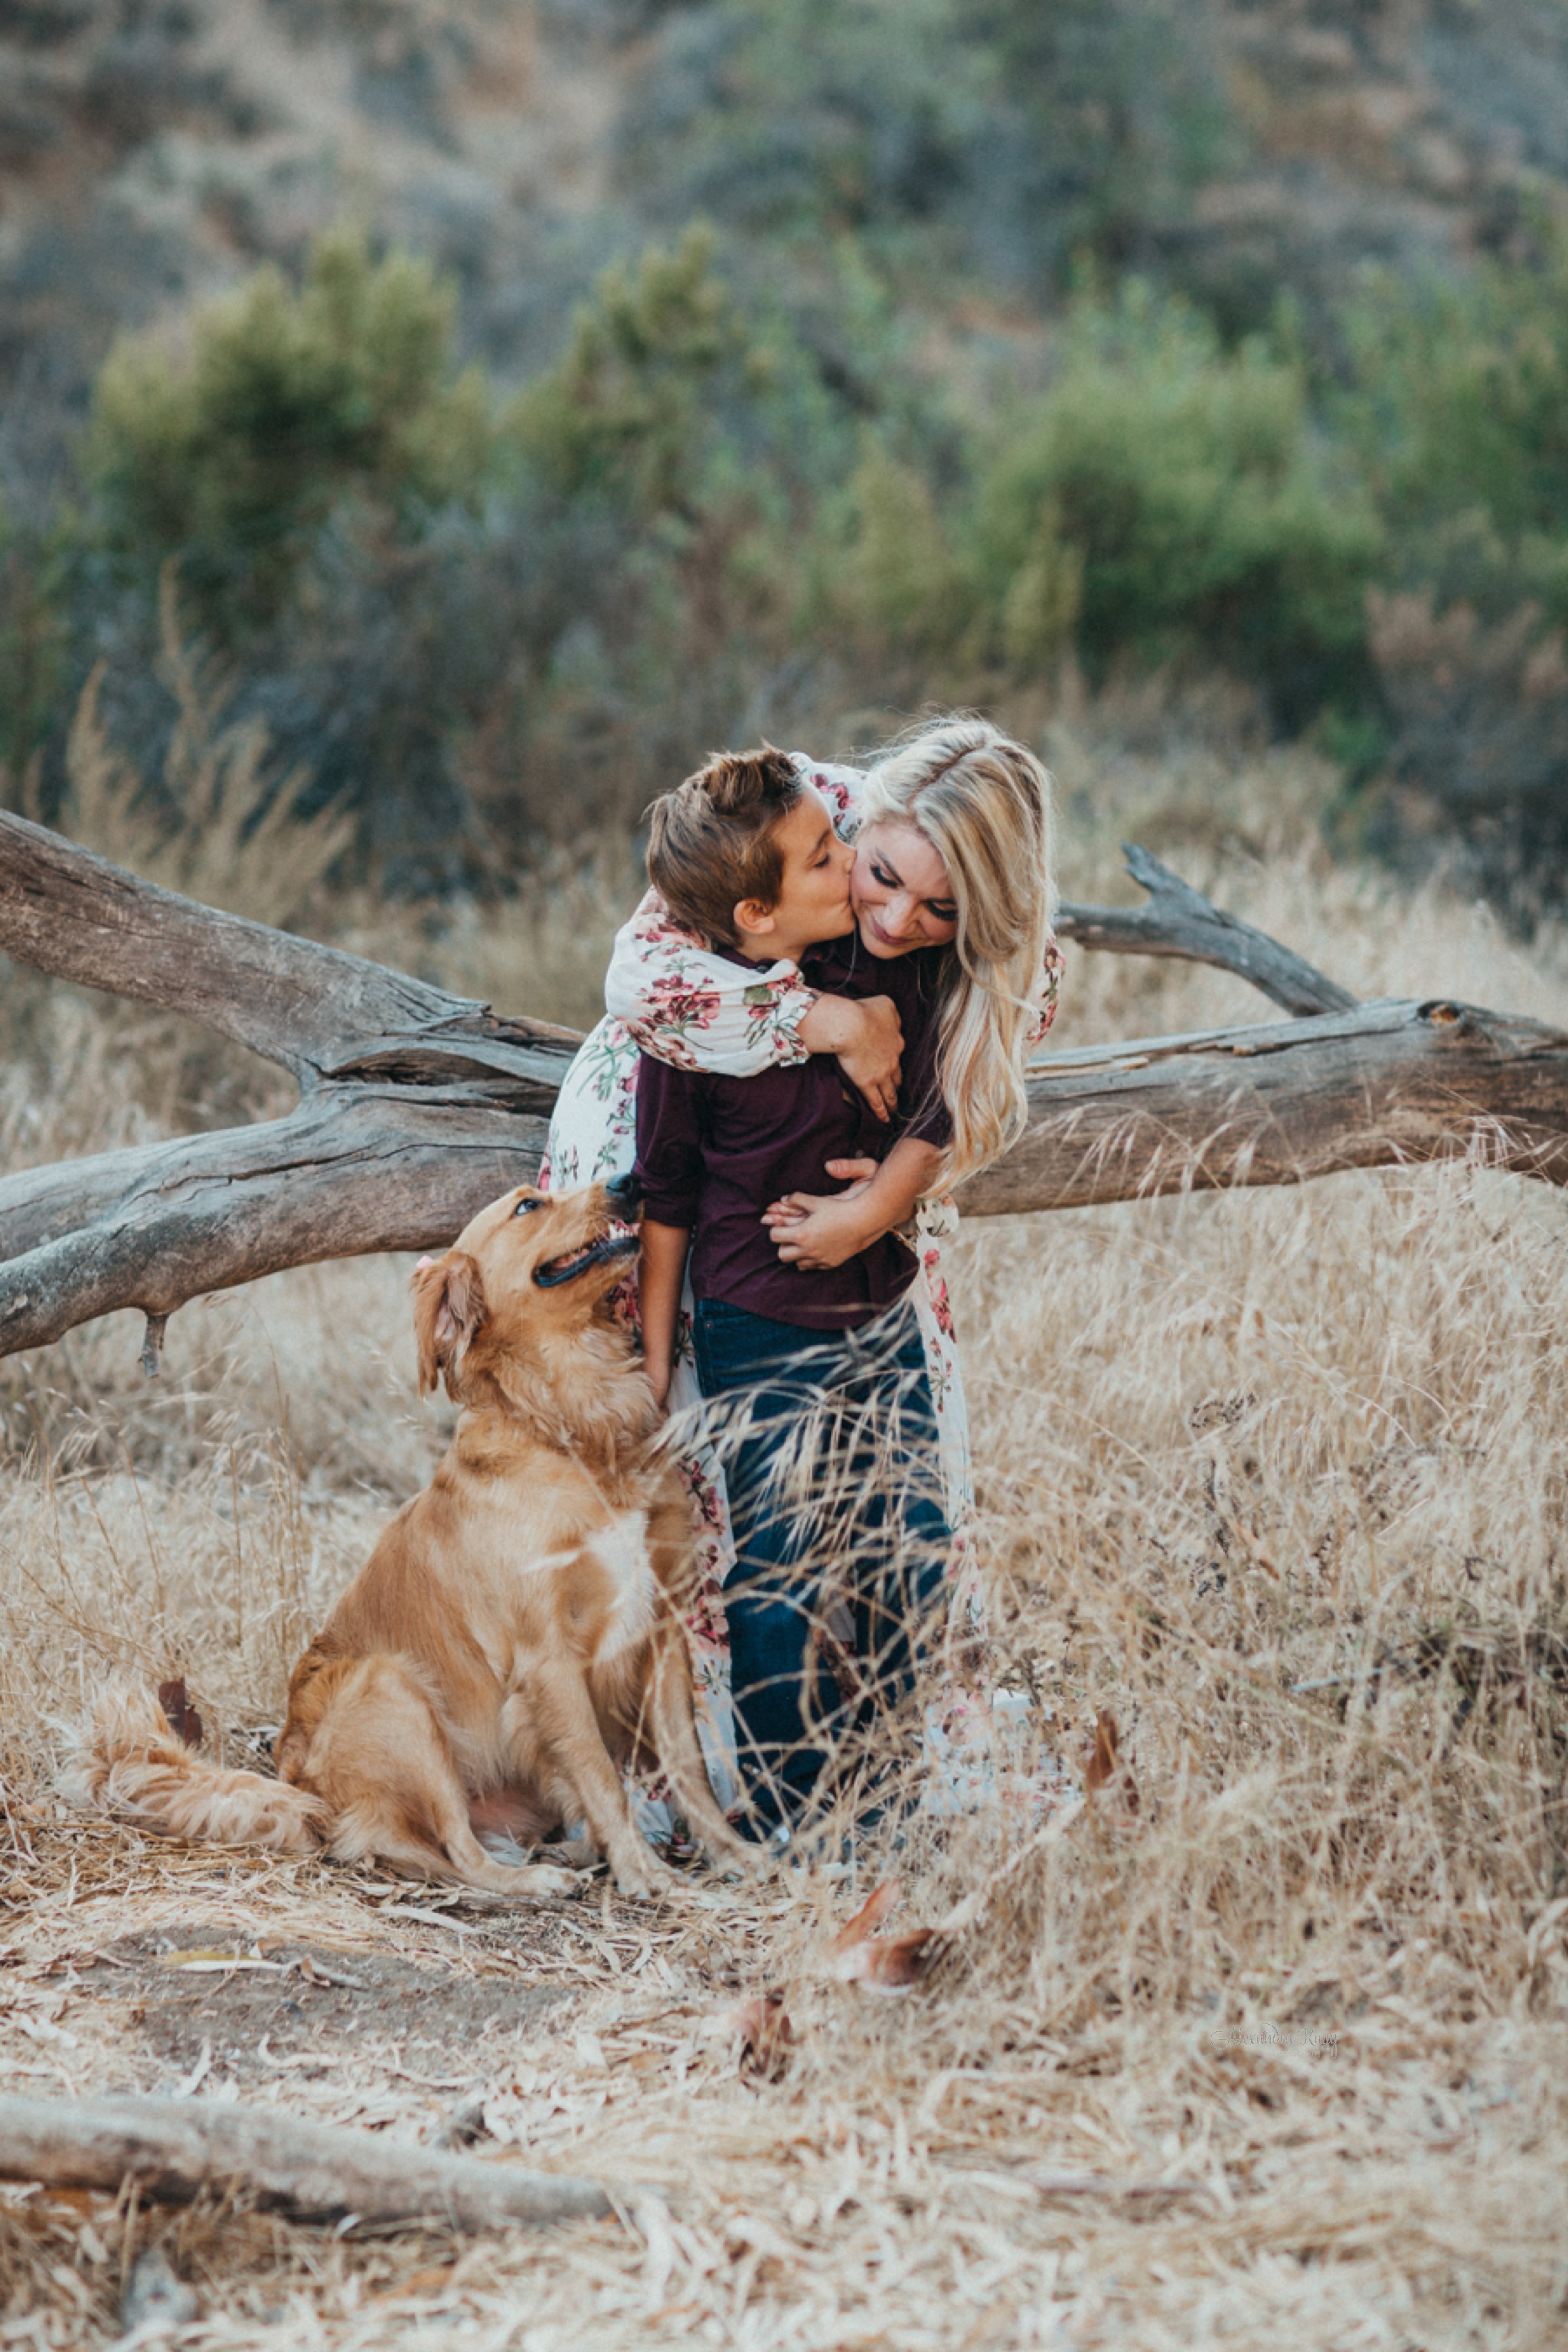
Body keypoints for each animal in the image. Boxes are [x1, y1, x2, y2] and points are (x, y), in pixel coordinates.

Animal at [72, 1185, 752, 1900]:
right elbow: (599, 1775)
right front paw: (648, 1875)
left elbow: (690, 1767)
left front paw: (735, 1854)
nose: (629, 1183)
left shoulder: (662, 1630)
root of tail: (303, 1792)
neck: (571, 1424)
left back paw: (567, 1853)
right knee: (454, 1853)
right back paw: (535, 1878)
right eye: (528, 1205)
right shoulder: (549, 1658)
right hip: (395, 1690)